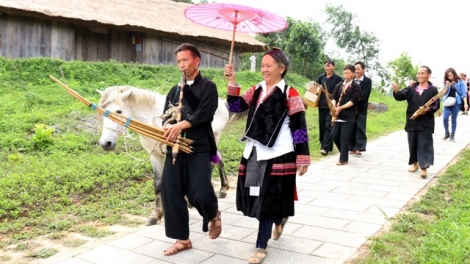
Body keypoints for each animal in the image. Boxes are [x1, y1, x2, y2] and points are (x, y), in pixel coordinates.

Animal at [98, 86, 233, 225]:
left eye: (118, 111)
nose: (106, 143)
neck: (151, 120)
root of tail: (221, 102)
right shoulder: (155, 156)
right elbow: (157, 184)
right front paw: (156, 215)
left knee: (211, 164)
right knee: (218, 159)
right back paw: (223, 188)